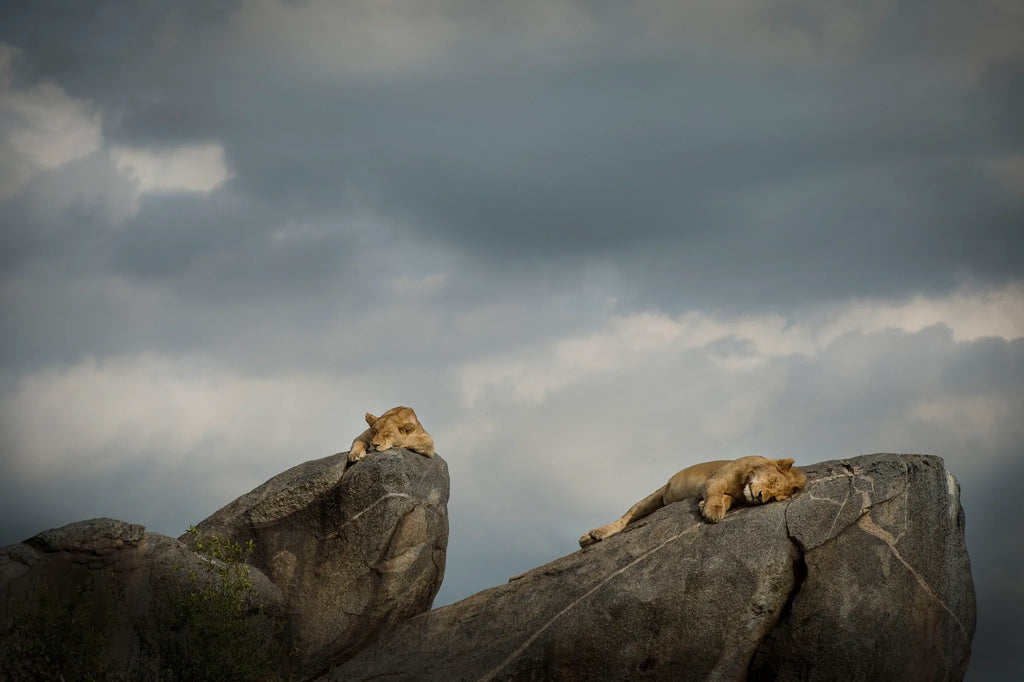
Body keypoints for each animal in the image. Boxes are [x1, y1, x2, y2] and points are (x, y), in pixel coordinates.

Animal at [579, 456, 806, 547]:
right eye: (772, 481)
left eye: (774, 497)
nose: (760, 497)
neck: (745, 482)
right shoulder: (715, 480)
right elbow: (716, 495)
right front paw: (712, 512)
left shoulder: (735, 495)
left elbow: (726, 500)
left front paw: (705, 507)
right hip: (654, 496)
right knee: (624, 519)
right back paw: (594, 534)